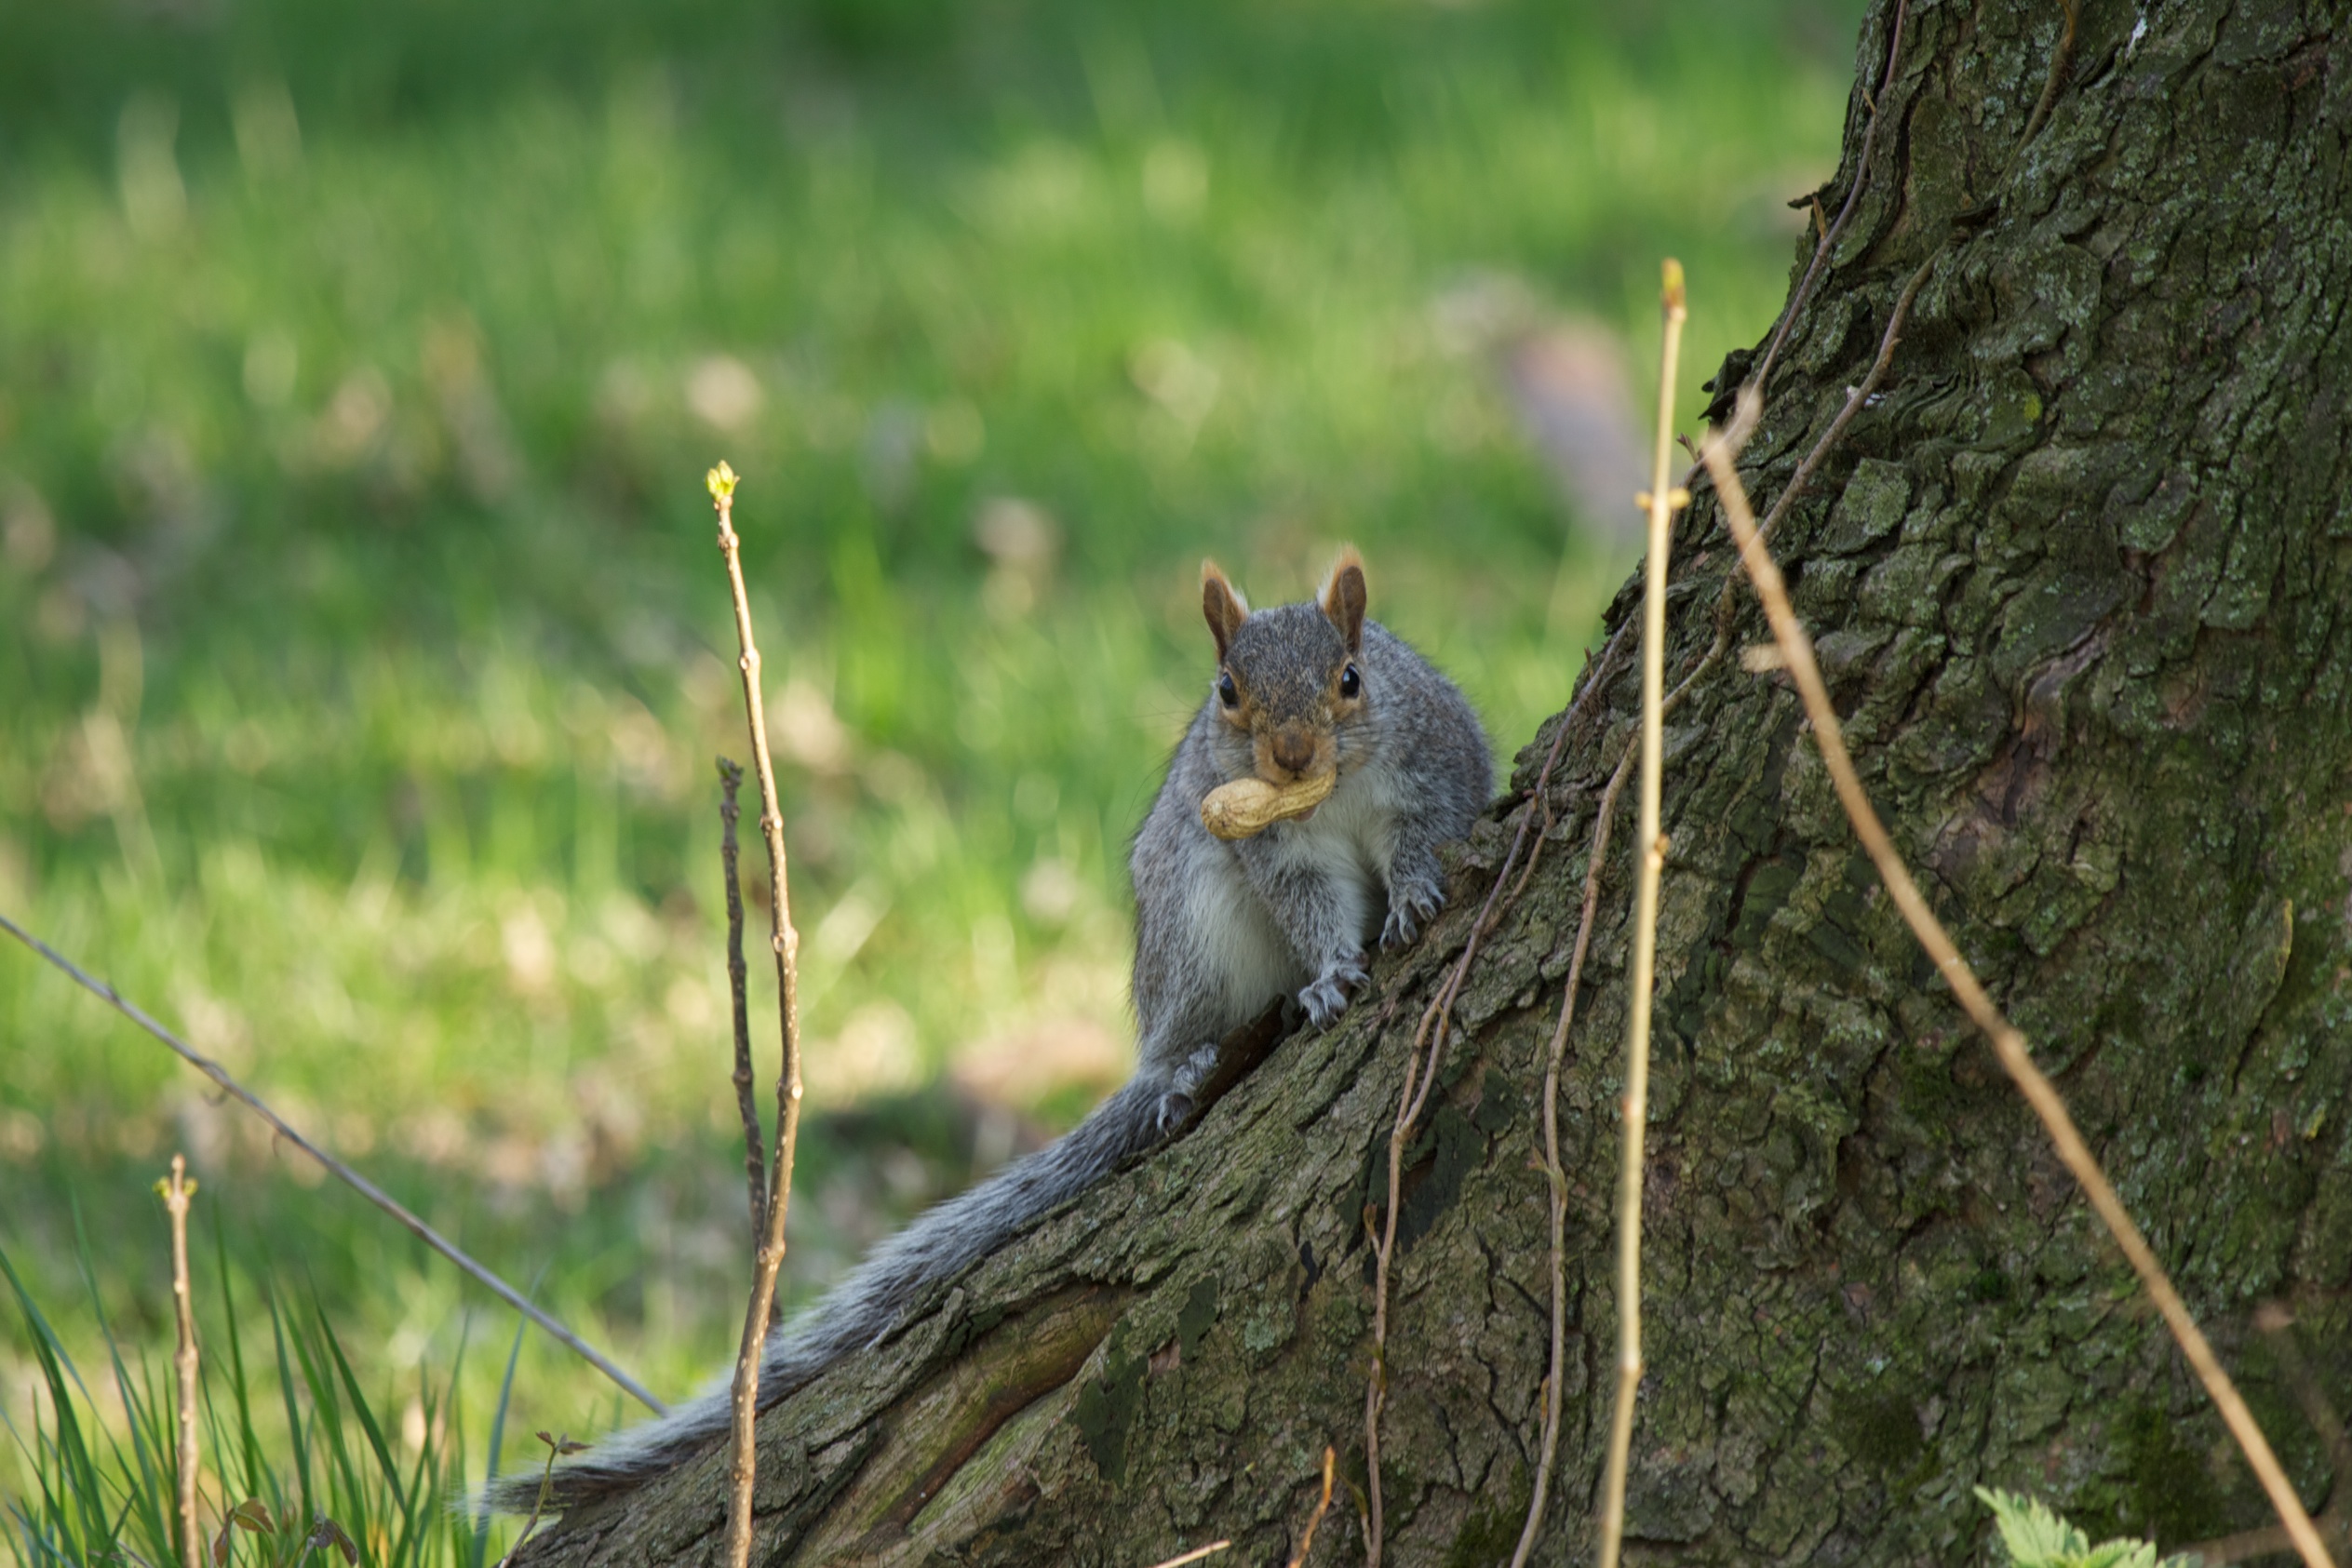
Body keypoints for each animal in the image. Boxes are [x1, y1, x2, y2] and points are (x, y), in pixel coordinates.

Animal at [491, 546, 1490, 1510]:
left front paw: (1412, 900)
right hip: (1193, 920)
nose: (1287, 756)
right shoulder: (1273, 847)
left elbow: (1422, 839)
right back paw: (1185, 1066)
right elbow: (1309, 905)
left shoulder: (1429, 776)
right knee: (1189, 1023)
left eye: (1351, 678)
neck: (1331, 791)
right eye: (1226, 690)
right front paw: (1328, 978)